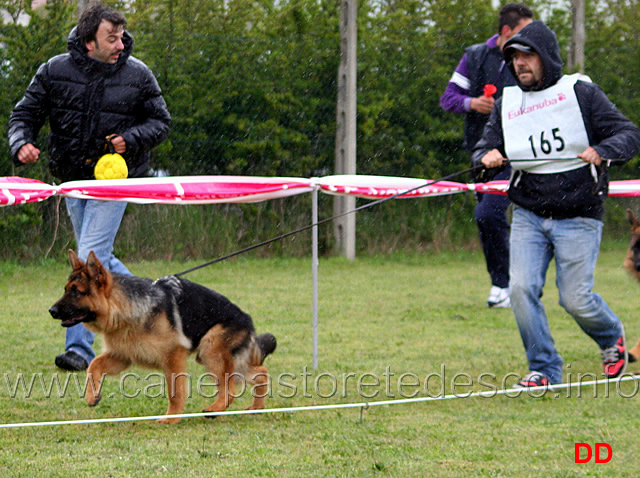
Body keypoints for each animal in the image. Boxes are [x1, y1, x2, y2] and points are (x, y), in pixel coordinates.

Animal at [50, 250, 278, 422]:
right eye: (65, 289)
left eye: (76, 292)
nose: (51, 311)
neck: (125, 309)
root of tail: (248, 320)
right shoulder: (122, 356)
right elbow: (93, 365)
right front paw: (92, 395)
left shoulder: (173, 357)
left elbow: (175, 392)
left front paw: (171, 418)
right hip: (218, 357)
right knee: (261, 372)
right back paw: (256, 407)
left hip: (211, 349)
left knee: (230, 386)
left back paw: (214, 409)